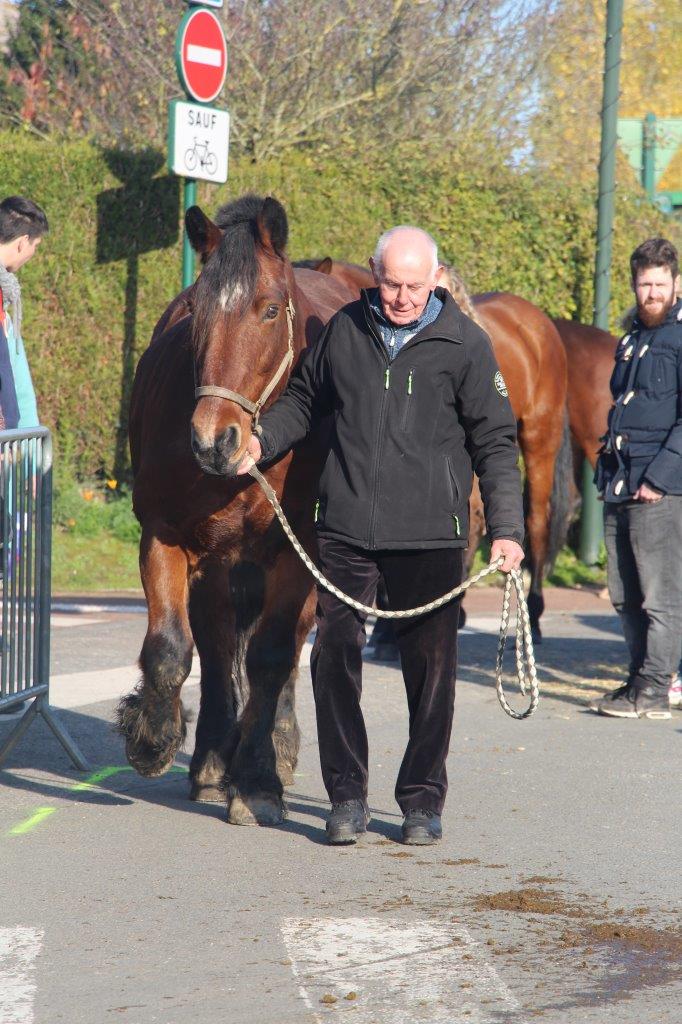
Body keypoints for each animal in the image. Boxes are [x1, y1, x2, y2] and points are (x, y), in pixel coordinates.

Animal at [114, 195, 352, 827]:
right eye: (194, 311)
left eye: (269, 310)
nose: (213, 439)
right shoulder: (166, 535)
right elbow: (172, 648)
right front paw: (153, 739)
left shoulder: (297, 554)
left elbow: (272, 657)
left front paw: (259, 782)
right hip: (219, 564)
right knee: (219, 645)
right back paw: (213, 761)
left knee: (287, 651)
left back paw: (274, 750)